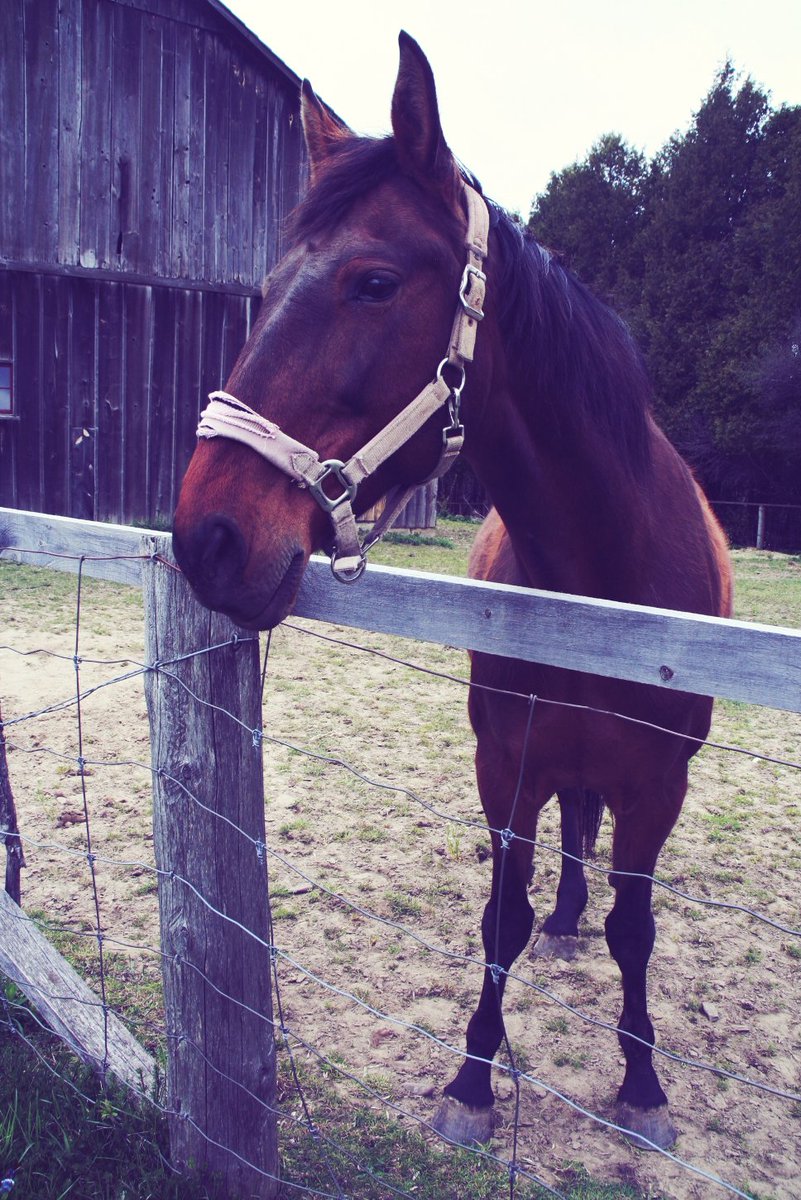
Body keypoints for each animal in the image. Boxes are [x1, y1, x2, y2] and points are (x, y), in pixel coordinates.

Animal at [173, 32, 732, 1151]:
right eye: (267, 286)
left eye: (375, 281)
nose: (206, 537)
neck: (603, 587)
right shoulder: (504, 765)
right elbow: (501, 917)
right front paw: (474, 1078)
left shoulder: (660, 788)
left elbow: (636, 928)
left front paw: (643, 1084)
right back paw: (563, 917)